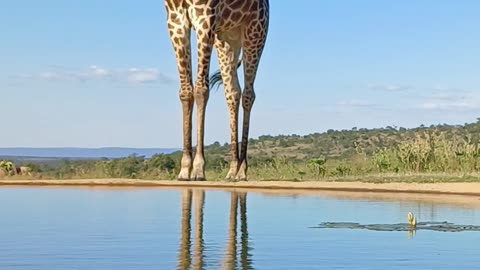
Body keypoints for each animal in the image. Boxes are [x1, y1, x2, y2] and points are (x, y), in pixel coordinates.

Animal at [165, 0, 270, 181]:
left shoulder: (205, 16)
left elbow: (201, 89)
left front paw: (198, 169)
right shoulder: (176, 18)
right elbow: (185, 91)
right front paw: (185, 169)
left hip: (255, 33)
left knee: (248, 95)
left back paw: (242, 171)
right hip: (226, 39)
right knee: (233, 93)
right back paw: (232, 170)